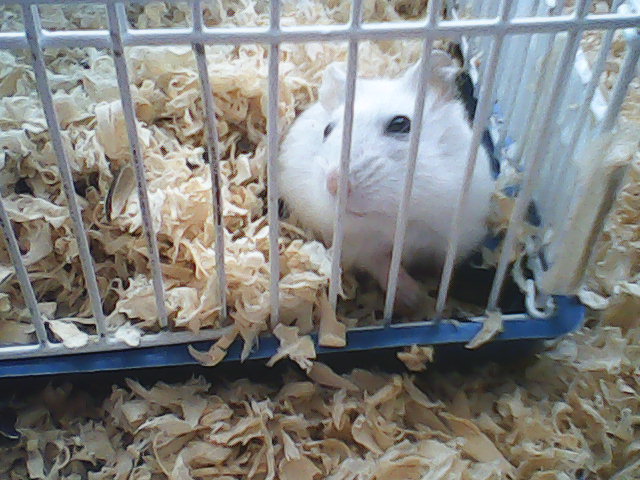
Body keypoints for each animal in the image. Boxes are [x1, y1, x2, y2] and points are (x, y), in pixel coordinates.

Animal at [278, 50, 494, 315]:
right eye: (327, 130)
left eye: (400, 124)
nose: (334, 184)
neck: (400, 220)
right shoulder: (357, 246)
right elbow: (384, 266)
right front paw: (413, 299)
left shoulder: (459, 232)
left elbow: (447, 267)